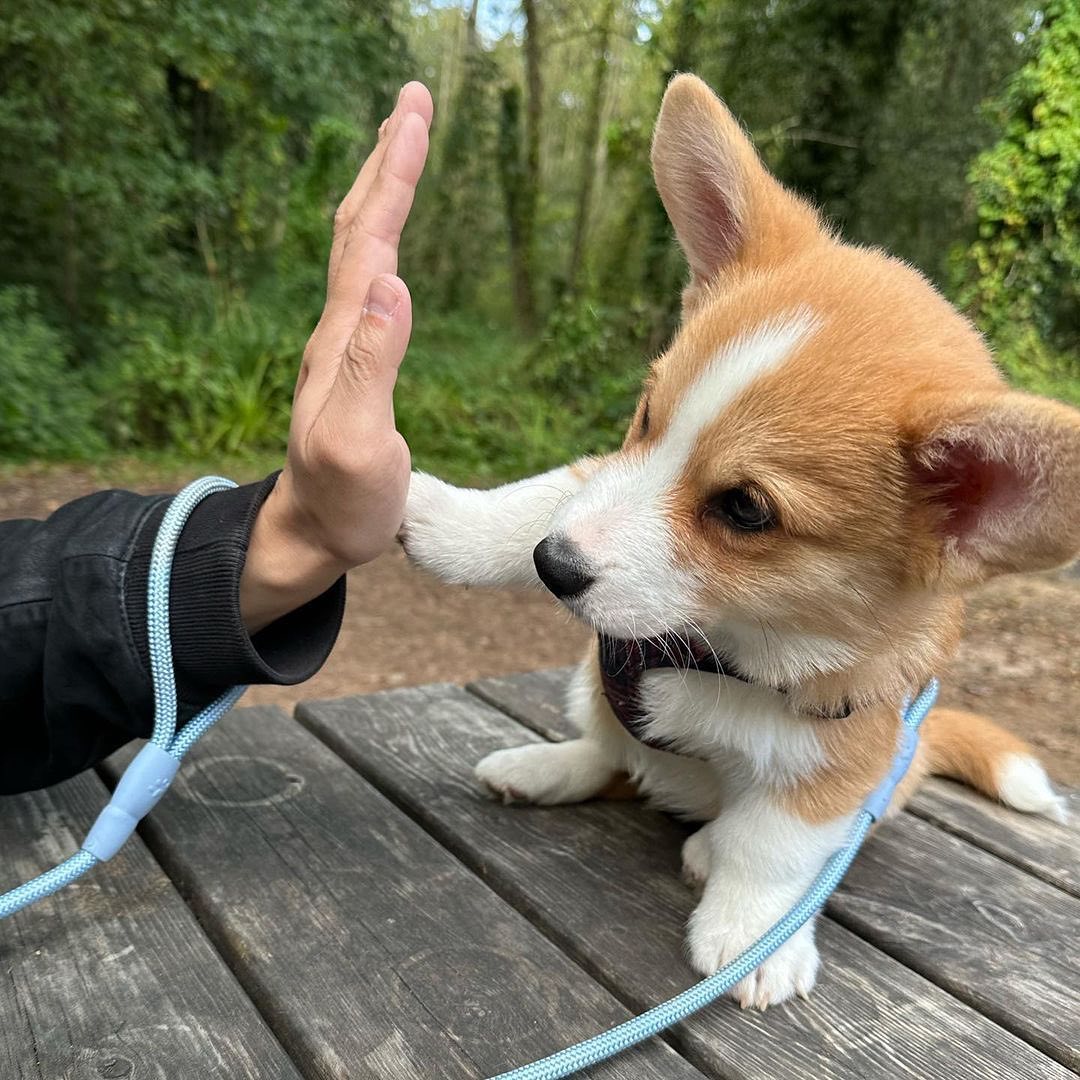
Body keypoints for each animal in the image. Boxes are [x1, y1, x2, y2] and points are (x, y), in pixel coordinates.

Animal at [401, 76, 1075, 1010]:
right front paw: (442, 519)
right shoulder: (605, 477)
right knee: (607, 752)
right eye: (648, 415)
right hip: (587, 686)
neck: (726, 645)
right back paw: (542, 768)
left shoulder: (830, 772)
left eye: (747, 510)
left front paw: (755, 938)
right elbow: (540, 495)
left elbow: (770, 850)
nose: (553, 567)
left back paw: (701, 849)